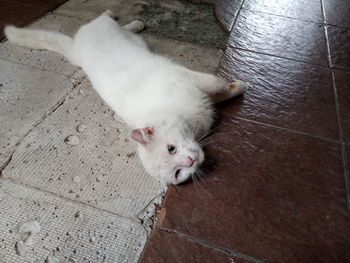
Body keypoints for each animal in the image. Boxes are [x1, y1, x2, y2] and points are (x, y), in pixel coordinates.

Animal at [4, 11, 247, 187]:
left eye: (171, 148)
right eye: (178, 173)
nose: (190, 161)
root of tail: (76, 47)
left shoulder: (184, 76)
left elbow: (216, 83)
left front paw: (240, 85)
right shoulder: (201, 98)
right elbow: (221, 94)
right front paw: (238, 87)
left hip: (115, 32)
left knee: (109, 20)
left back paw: (125, 18)